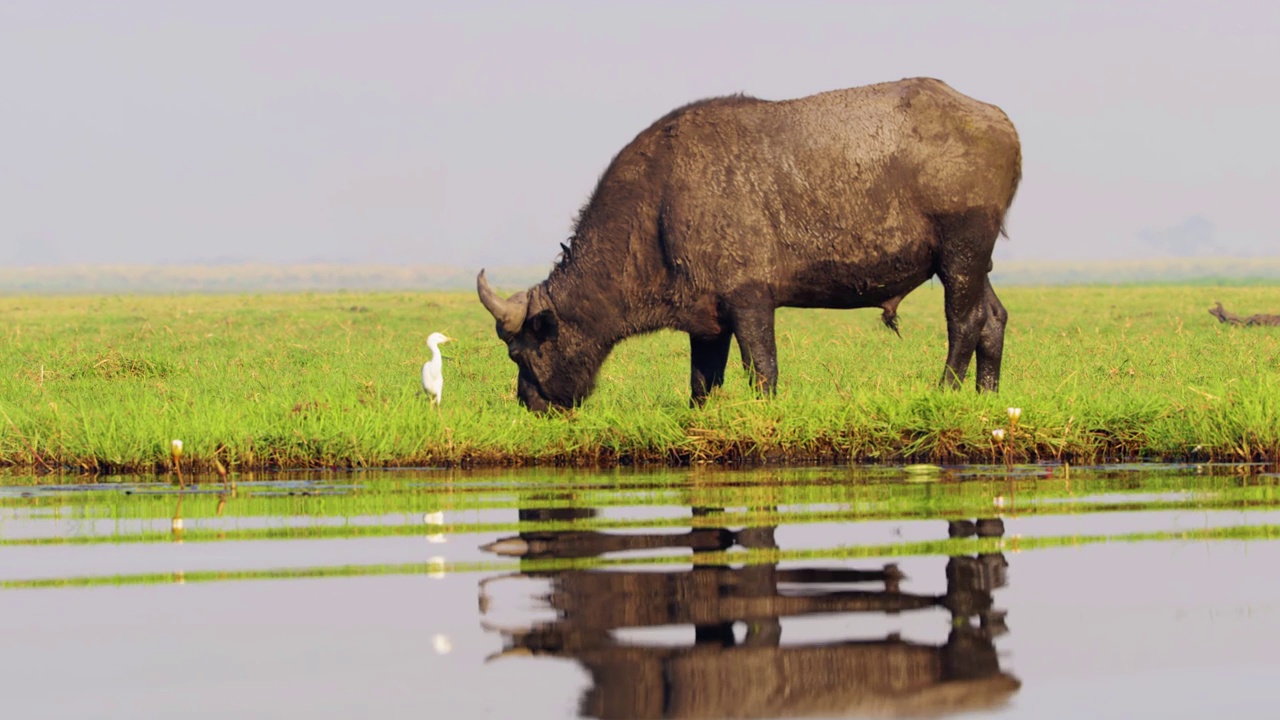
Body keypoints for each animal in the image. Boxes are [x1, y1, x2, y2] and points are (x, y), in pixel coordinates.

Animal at [476, 77, 1024, 409]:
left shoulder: (751, 301)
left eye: (519, 354)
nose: (529, 403)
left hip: (960, 254)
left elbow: (762, 368)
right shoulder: (707, 322)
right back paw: (988, 397)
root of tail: (999, 120)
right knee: (994, 318)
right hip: (973, 263)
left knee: (965, 322)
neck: (660, 205)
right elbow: (701, 382)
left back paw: (947, 390)